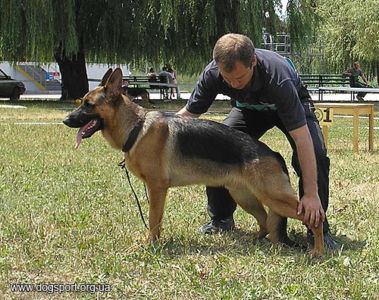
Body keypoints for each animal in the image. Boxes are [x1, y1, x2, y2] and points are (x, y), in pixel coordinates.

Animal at [63, 68, 326, 255]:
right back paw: (257, 241)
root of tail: (274, 154)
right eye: (82, 102)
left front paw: (150, 244)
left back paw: (318, 250)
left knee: (314, 217)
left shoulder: (157, 189)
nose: (66, 120)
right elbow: (155, 220)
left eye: (88, 104)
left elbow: (153, 220)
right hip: (245, 196)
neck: (135, 128)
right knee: (264, 221)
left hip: (273, 197)